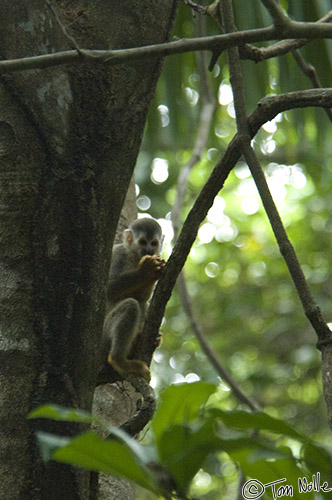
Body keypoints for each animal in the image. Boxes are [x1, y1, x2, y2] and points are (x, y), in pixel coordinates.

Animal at [99, 217, 165, 380]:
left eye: (154, 243)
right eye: (142, 242)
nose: (149, 251)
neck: (134, 256)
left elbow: (142, 297)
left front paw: (153, 273)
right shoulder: (118, 254)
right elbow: (108, 288)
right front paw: (146, 270)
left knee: (140, 303)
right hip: (101, 342)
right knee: (131, 305)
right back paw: (119, 360)